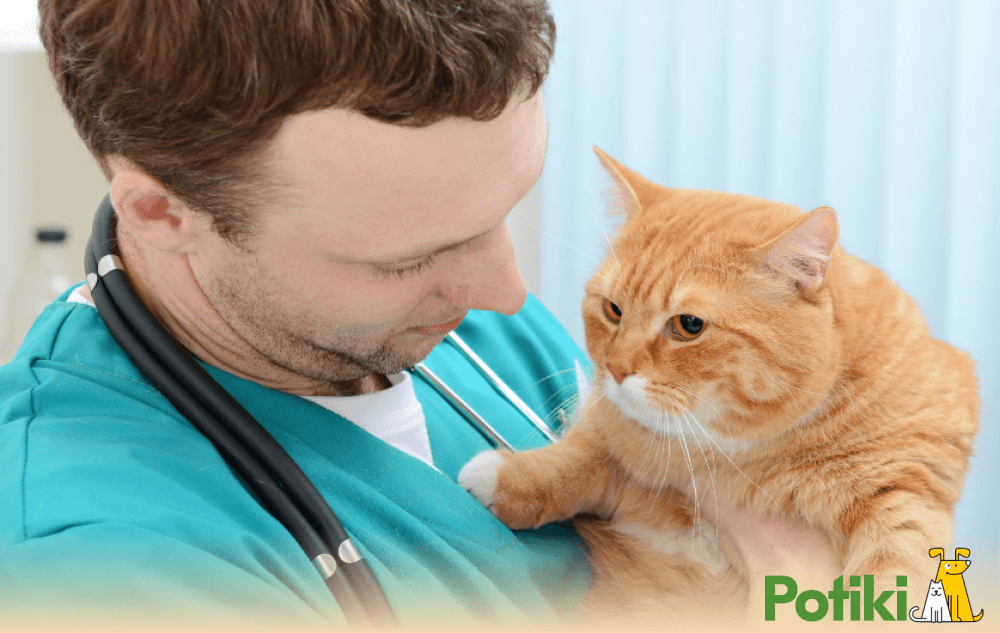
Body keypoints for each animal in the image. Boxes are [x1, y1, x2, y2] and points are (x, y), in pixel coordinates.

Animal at [458, 147, 980, 624]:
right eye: (613, 310)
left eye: (689, 325)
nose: (616, 369)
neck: (734, 456)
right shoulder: (618, 447)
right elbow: (578, 459)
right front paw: (505, 477)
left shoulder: (905, 491)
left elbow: (890, 578)